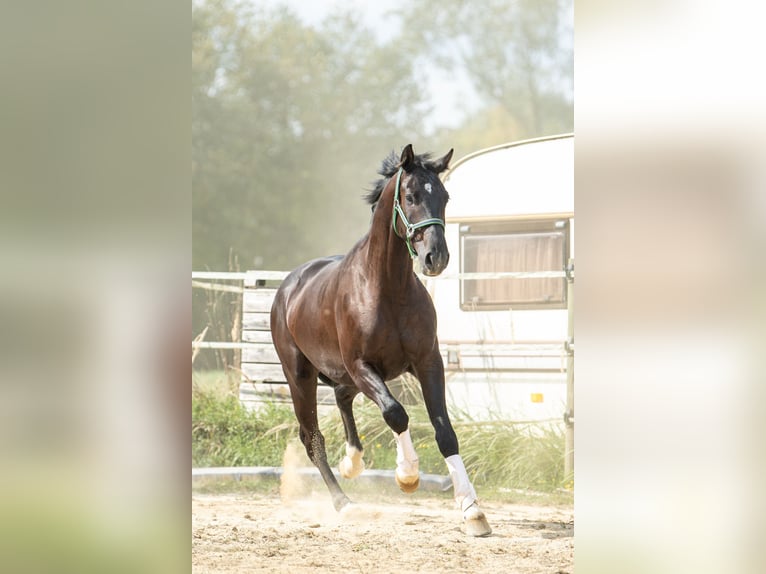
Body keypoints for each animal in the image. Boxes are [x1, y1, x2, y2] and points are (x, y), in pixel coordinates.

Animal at [270, 144, 492, 536]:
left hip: (343, 375)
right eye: (411, 196)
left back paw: (352, 463)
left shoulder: (426, 362)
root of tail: (288, 287)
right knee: (312, 438)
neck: (387, 288)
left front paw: (472, 511)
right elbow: (396, 413)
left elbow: (445, 432)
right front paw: (407, 475)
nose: (436, 257)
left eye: (445, 197)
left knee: (342, 399)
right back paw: (344, 503)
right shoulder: (362, 365)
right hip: (300, 376)